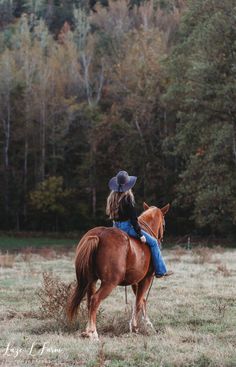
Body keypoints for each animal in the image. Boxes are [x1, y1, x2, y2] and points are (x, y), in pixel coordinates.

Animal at [67, 203, 170, 340]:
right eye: (163, 224)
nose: (161, 240)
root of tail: (98, 235)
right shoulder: (146, 278)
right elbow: (139, 302)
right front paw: (135, 327)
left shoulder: (135, 281)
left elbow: (140, 300)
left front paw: (144, 324)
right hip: (110, 283)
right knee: (95, 300)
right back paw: (93, 333)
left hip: (91, 281)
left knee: (89, 301)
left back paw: (87, 331)